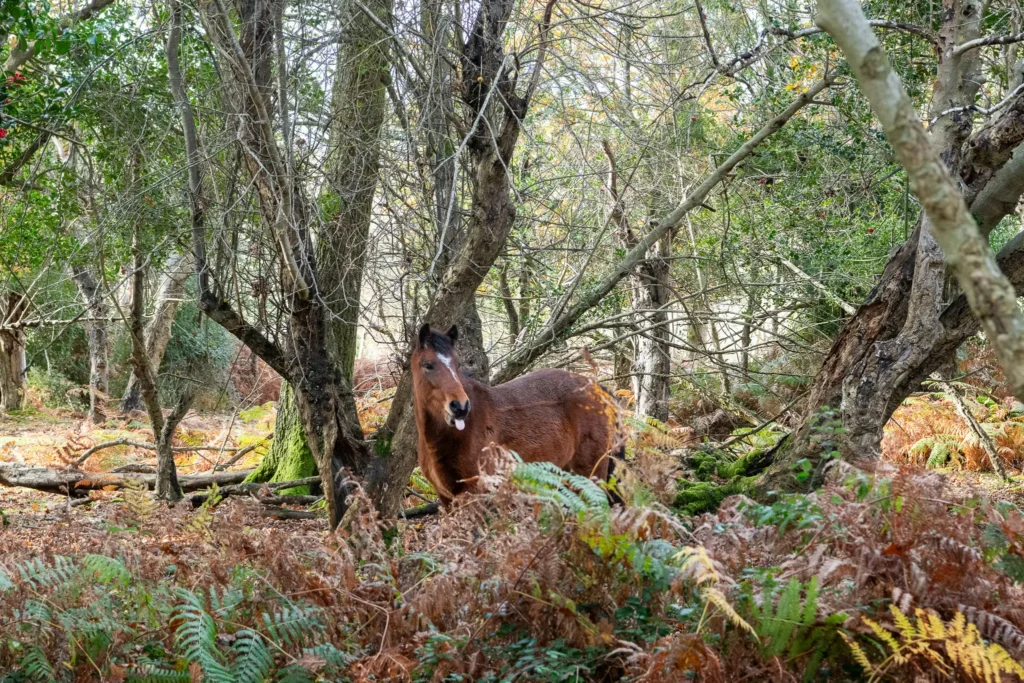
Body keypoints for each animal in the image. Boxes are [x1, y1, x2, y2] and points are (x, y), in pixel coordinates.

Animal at [410, 324, 623, 505]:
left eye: (457, 364)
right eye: (428, 364)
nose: (460, 407)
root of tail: (599, 390)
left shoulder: (475, 495)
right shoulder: (447, 499)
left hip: (591, 472)